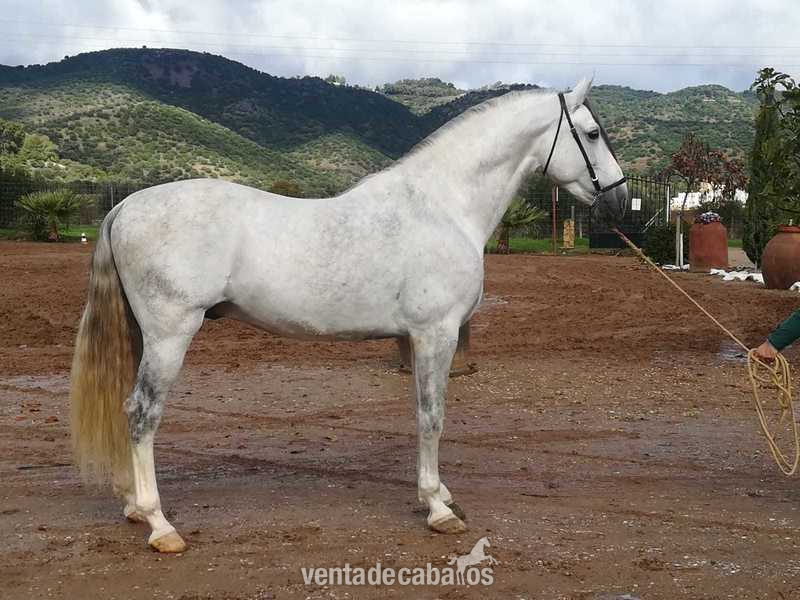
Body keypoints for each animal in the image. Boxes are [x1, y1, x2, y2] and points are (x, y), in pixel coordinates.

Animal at [70, 78, 627, 552]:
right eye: (592, 133)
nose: (619, 197)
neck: (442, 207)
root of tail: (124, 207)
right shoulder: (435, 334)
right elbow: (432, 416)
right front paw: (437, 508)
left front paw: (441, 494)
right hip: (170, 334)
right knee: (142, 413)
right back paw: (159, 524)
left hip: (145, 335)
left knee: (129, 410)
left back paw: (134, 508)